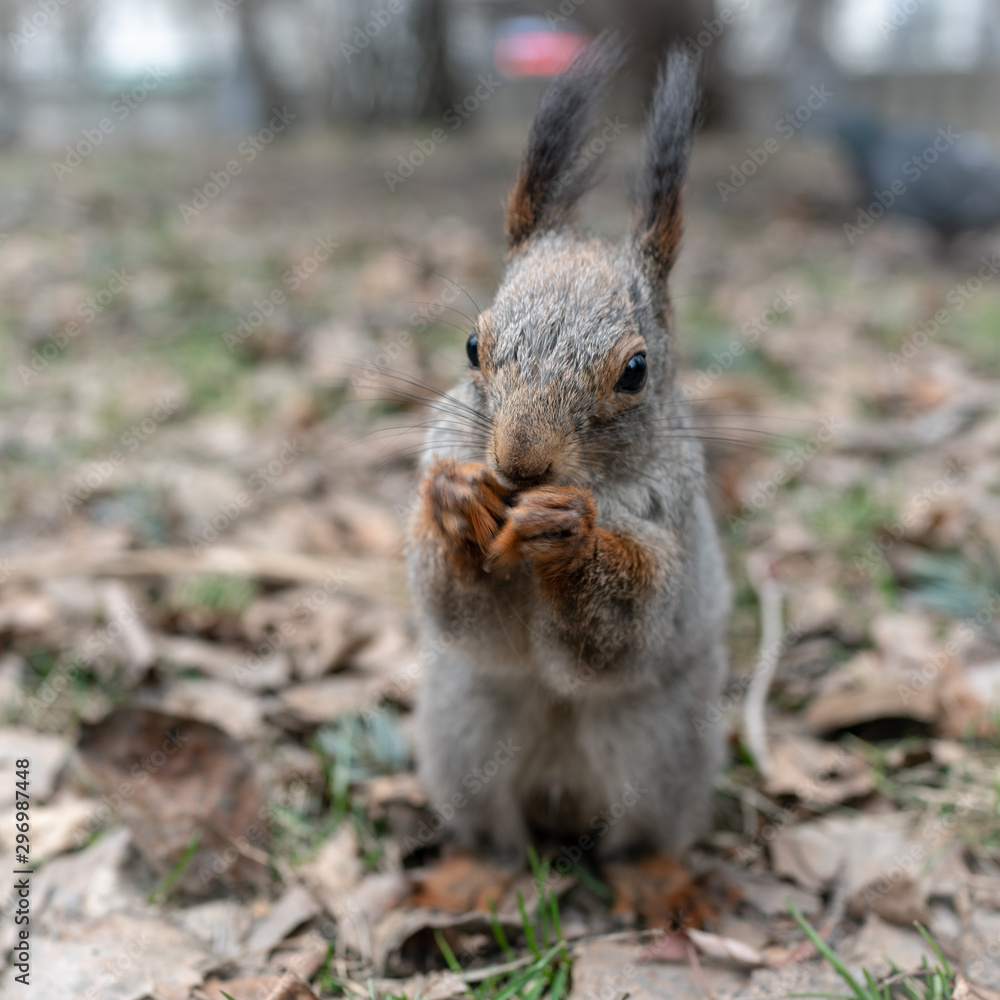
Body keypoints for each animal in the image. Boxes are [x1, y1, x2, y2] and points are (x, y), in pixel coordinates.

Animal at [407, 38, 730, 861]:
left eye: (636, 370)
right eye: (472, 346)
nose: (520, 465)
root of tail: (560, 800)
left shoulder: (673, 522)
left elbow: (626, 629)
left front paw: (568, 531)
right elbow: (460, 616)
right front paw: (457, 500)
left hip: (660, 745)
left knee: (641, 835)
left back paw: (653, 875)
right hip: (463, 724)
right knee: (492, 824)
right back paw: (481, 866)